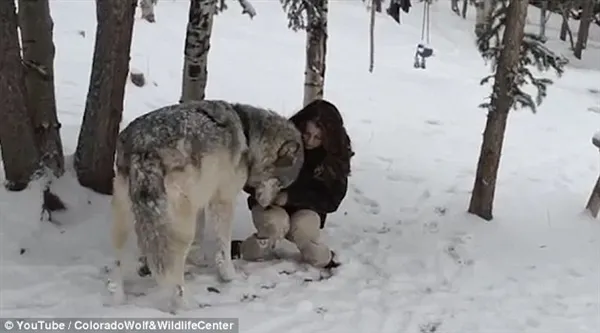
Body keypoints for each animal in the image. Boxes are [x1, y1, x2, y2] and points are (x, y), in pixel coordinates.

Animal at [104, 98, 304, 312]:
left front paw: (197, 260)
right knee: (172, 271)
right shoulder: (223, 200)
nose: (269, 205)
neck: (250, 136)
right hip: (180, 226)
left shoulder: (200, 199)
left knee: (119, 261)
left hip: (126, 218)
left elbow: (199, 236)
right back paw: (184, 305)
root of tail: (143, 145)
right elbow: (223, 247)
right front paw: (229, 275)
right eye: (281, 185)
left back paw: (118, 299)